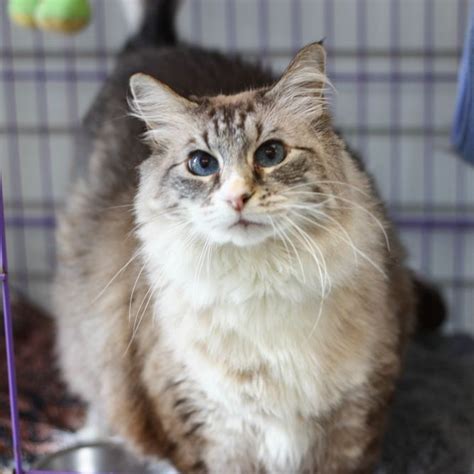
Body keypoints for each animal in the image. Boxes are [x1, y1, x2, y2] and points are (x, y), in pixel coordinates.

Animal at [54, 1, 414, 472]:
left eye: (271, 154)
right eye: (202, 164)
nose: (238, 198)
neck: (260, 284)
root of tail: (156, 44)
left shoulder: (353, 421)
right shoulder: (206, 428)